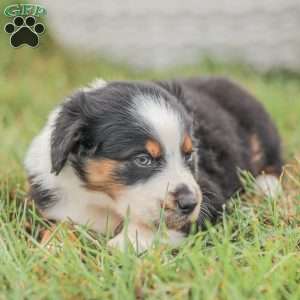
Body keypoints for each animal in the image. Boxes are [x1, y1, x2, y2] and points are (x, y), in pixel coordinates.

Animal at [24, 77, 282, 251]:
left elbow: (159, 226)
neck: (103, 200)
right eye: (143, 159)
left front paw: (122, 244)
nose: (189, 203)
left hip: (262, 128)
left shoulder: (211, 194)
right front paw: (54, 248)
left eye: (189, 154)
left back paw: (266, 187)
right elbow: (59, 228)